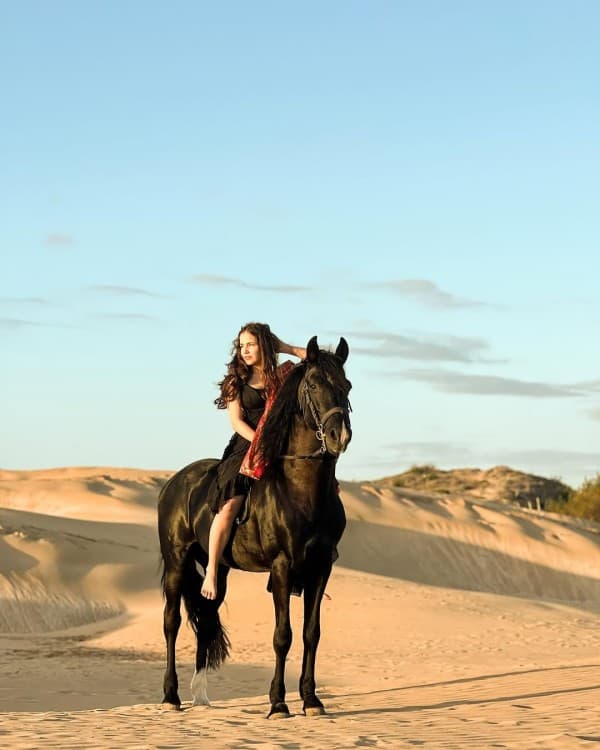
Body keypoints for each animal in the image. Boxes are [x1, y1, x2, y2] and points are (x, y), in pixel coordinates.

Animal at [157, 335, 352, 718]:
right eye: (313, 385)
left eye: (347, 386)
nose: (340, 436)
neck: (301, 488)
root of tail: (173, 482)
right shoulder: (282, 567)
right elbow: (283, 635)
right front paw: (278, 702)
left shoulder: (321, 567)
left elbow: (311, 633)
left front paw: (311, 700)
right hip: (176, 561)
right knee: (171, 622)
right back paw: (171, 696)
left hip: (217, 569)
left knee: (205, 618)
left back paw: (201, 697)